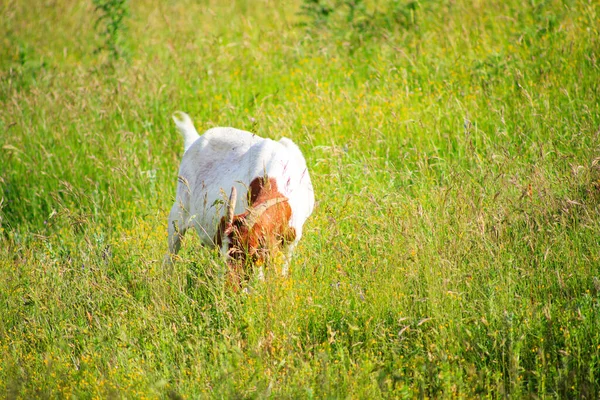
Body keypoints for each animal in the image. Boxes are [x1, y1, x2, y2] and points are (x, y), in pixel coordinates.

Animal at [164, 111, 314, 282]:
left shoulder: (291, 240)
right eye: (225, 255)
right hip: (178, 213)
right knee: (171, 254)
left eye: (249, 254)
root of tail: (195, 141)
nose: (229, 284)